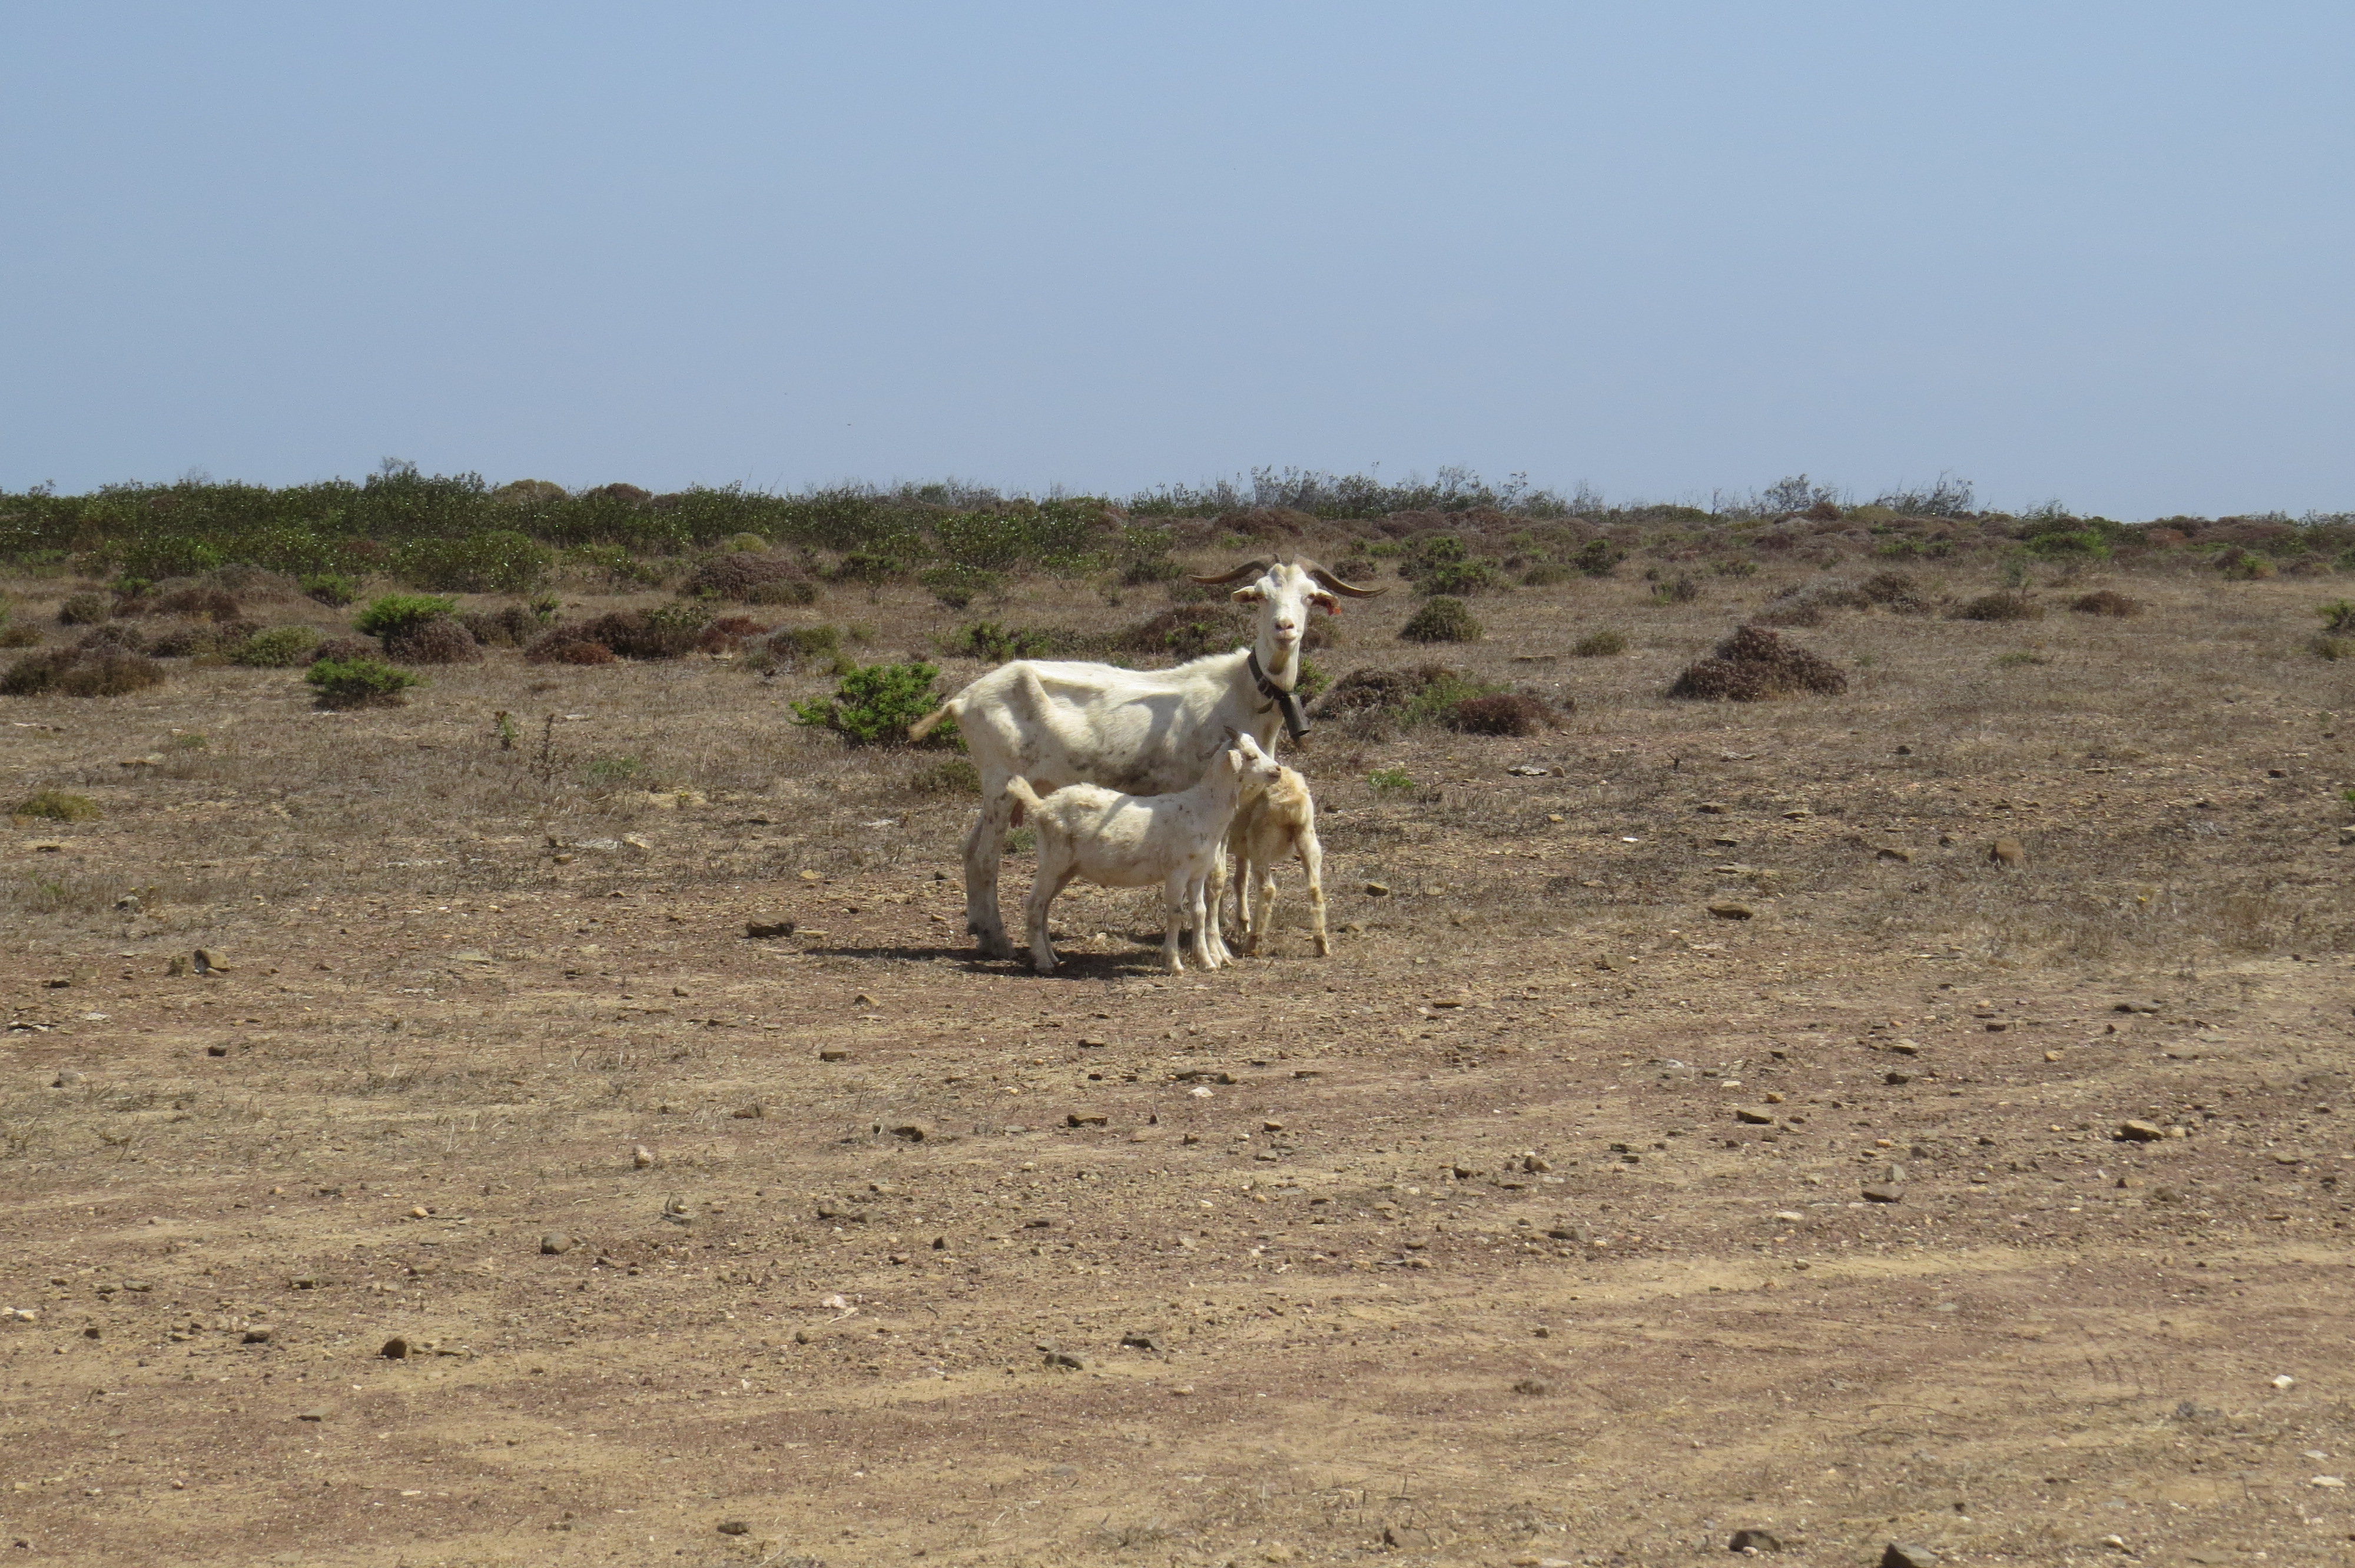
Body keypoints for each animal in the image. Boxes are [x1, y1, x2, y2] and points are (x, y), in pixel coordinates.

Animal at [999, 730, 1281, 970]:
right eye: (1250, 756)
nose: (1278, 770)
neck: (1202, 809)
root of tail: (1041, 806)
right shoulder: (1176, 870)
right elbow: (1176, 913)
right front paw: (1174, 964)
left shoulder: (1197, 871)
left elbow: (1199, 913)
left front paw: (1206, 961)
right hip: (1052, 858)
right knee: (1035, 904)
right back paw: (1043, 961)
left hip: (1067, 868)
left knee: (1045, 906)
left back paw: (1052, 956)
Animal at [1215, 758, 1328, 951]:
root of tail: (1293, 799)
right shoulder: (1239, 850)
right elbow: (1240, 881)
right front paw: (1241, 922)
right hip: (1308, 839)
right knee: (1315, 888)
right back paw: (1321, 943)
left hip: (1259, 843)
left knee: (1268, 889)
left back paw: (1253, 942)